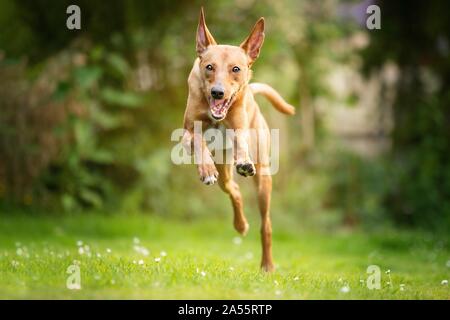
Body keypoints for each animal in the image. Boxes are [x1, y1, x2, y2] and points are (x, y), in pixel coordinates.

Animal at [183, 7, 296, 272]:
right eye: (209, 66)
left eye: (236, 69)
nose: (218, 93)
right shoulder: (185, 133)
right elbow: (198, 141)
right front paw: (205, 169)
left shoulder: (240, 128)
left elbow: (240, 142)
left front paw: (243, 161)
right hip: (225, 171)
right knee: (232, 188)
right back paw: (241, 224)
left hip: (264, 180)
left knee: (266, 225)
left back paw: (267, 265)